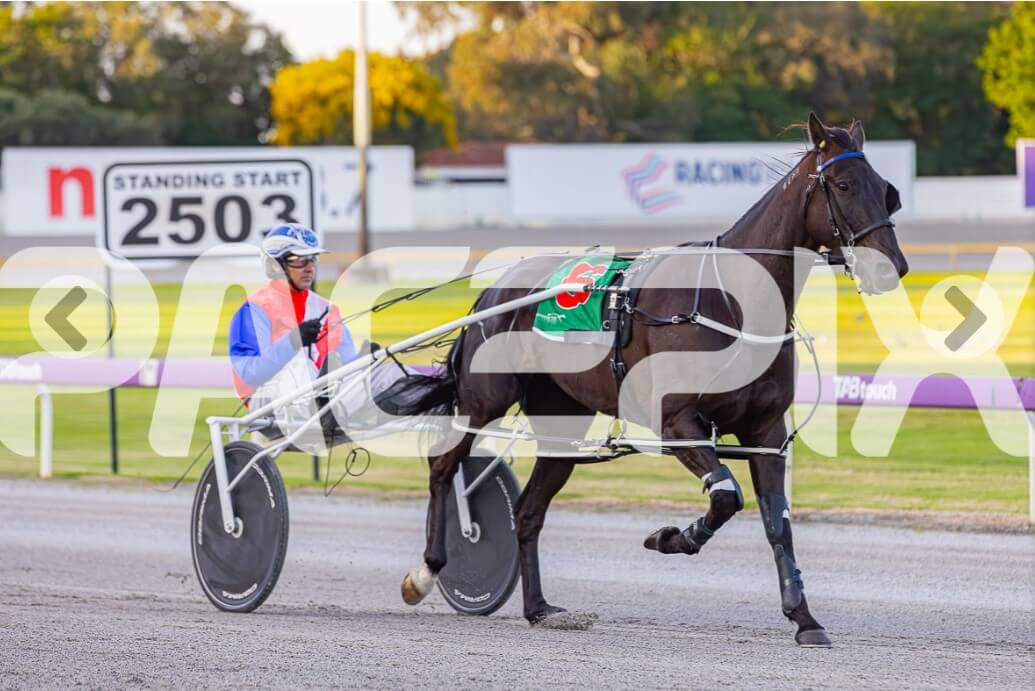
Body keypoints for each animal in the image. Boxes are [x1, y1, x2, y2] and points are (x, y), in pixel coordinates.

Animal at [397, 113, 908, 647]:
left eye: (886, 190)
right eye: (844, 184)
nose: (892, 267)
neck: (729, 299)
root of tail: (491, 293)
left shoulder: (765, 431)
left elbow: (778, 523)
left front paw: (804, 618)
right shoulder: (677, 421)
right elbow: (726, 496)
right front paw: (670, 538)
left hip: (562, 423)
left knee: (528, 511)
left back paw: (538, 607)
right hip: (483, 401)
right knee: (443, 466)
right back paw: (428, 570)